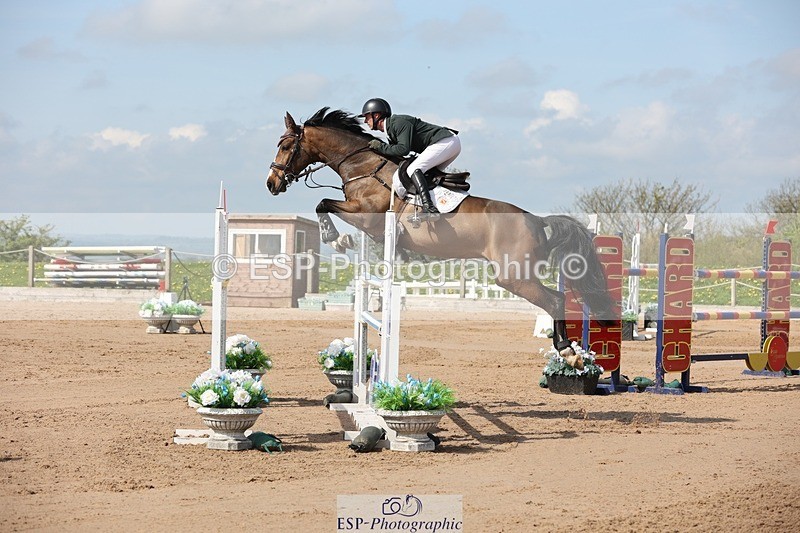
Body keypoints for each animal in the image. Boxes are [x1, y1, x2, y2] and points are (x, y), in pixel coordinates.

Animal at [265, 107, 616, 366]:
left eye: (285, 146)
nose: (271, 184)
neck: (362, 164)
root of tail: (538, 221)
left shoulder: (368, 215)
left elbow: (323, 203)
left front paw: (338, 239)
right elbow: (324, 204)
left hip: (513, 275)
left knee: (555, 300)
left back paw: (568, 351)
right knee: (556, 299)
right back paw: (566, 350)